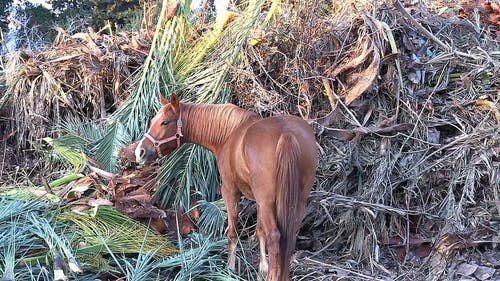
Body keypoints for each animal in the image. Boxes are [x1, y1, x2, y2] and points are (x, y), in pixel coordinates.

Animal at [136, 93, 316, 278]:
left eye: (165, 122)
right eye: (153, 120)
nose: (140, 152)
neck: (229, 134)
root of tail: (286, 134)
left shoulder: (230, 191)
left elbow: (232, 230)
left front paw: (231, 267)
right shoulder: (259, 202)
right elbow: (260, 231)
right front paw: (261, 270)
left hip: (268, 202)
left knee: (274, 237)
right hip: (296, 201)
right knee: (289, 237)